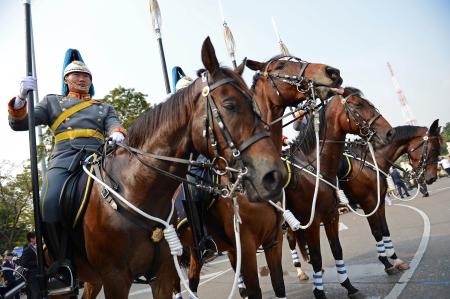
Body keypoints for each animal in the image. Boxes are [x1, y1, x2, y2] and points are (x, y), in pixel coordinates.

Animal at [71, 38, 286, 299]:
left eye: (256, 106)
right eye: (229, 105)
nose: (274, 176)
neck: (130, 188)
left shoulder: (273, 242)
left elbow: (279, 286)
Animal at [284, 88, 394, 298]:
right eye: (359, 104)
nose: (390, 132)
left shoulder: (331, 215)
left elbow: (337, 249)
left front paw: (349, 286)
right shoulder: (312, 220)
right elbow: (317, 257)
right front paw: (319, 292)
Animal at [338, 119, 442, 274]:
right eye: (434, 150)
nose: (432, 178)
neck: (371, 159)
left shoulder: (379, 202)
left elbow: (384, 229)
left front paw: (395, 258)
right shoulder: (368, 203)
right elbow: (377, 232)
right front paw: (385, 261)